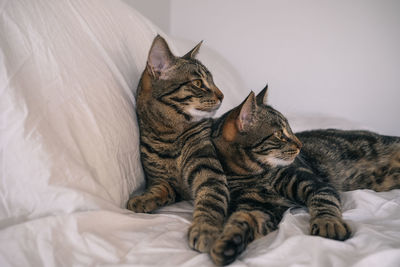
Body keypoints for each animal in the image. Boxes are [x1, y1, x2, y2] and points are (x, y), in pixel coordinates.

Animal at [126, 35, 230, 253]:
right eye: (198, 82)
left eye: (213, 80)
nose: (222, 95)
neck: (169, 136)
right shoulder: (161, 181)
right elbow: (158, 190)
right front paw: (143, 199)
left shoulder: (210, 174)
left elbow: (210, 201)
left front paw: (205, 228)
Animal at [209, 87, 400, 266]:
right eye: (279, 134)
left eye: (291, 129)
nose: (300, 144)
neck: (252, 175)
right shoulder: (257, 207)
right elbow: (242, 221)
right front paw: (228, 243)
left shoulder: (316, 185)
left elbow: (324, 203)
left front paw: (328, 223)